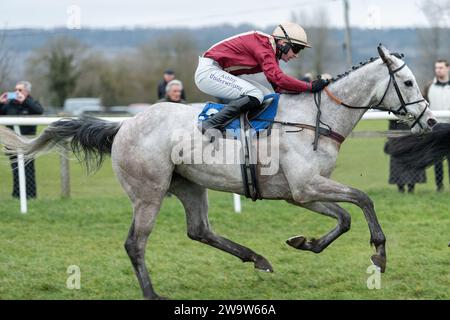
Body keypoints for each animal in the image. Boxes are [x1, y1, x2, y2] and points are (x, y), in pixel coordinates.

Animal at [0, 44, 438, 298]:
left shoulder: (301, 192)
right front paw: (379, 254)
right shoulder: (307, 185)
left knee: (199, 230)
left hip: (191, 185)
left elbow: (345, 217)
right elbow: (363, 199)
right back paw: (153, 294)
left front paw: (304, 243)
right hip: (148, 193)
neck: (315, 119)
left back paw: (257, 258)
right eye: (408, 82)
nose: (430, 121)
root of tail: (123, 126)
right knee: (135, 244)